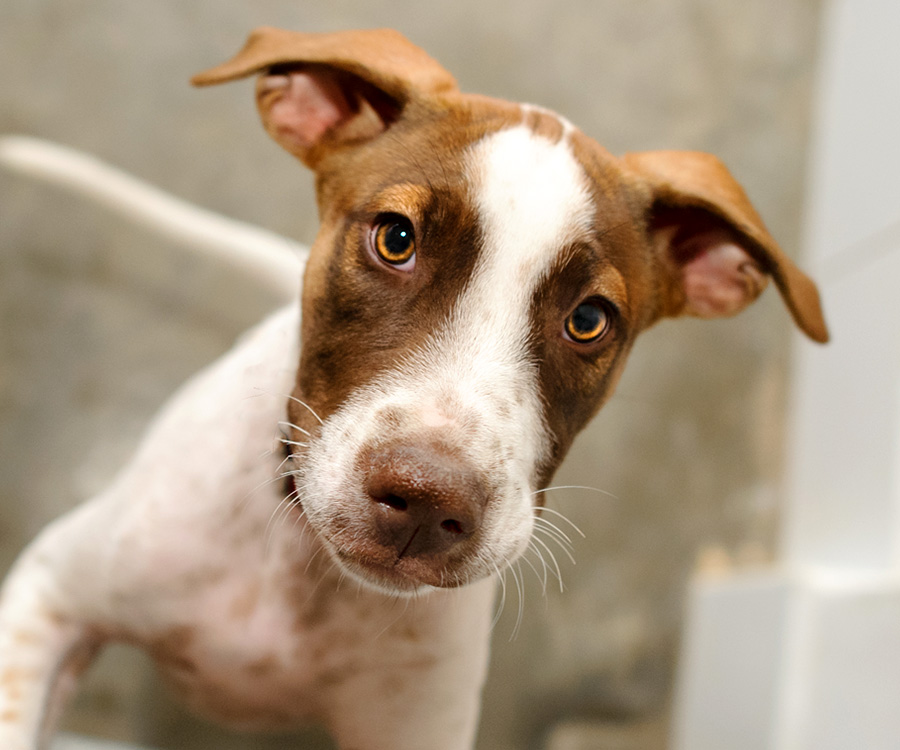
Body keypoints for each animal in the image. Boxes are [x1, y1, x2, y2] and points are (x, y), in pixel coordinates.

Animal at [0, 26, 828, 750]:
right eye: (395, 239)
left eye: (590, 320)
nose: (427, 504)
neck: (303, 571)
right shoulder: (48, 598)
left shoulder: (416, 726)